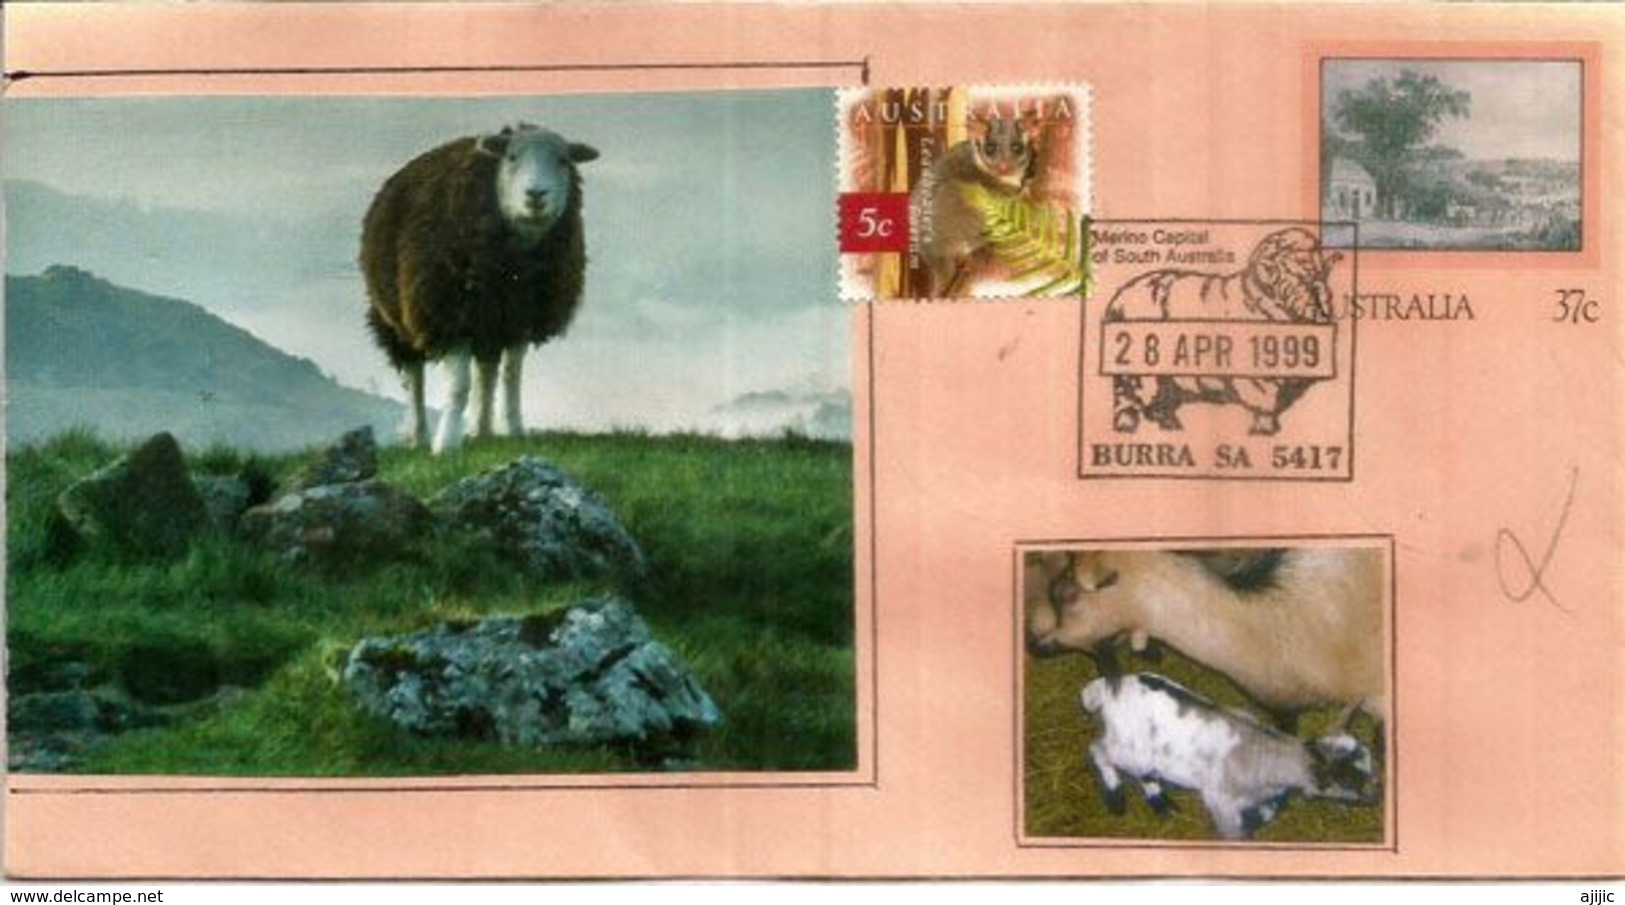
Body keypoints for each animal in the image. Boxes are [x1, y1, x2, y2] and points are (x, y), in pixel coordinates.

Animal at [359, 123, 601, 451]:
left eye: (563, 161)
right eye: (511, 157)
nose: (536, 194)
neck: (514, 264)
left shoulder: (518, 319)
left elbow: (511, 378)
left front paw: (514, 430)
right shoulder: (451, 314)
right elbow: (459, 386)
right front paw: (446, 443)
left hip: (489, 320)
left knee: (486, 372)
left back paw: (482, 430)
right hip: (396, 317)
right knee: (414, 376)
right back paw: (420, 437)